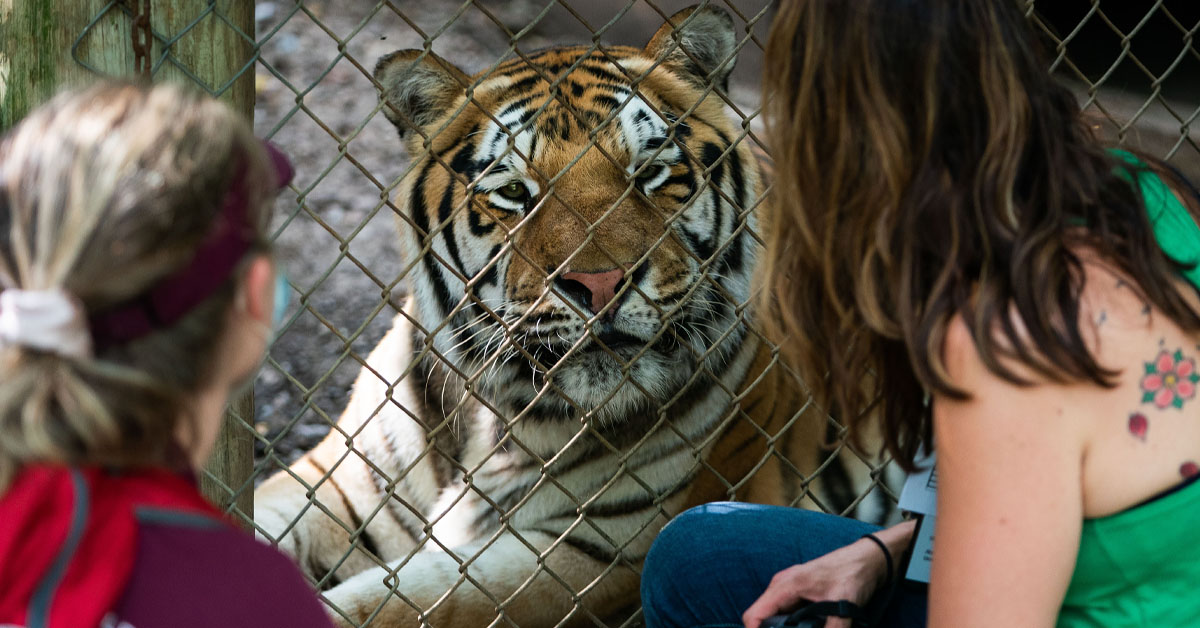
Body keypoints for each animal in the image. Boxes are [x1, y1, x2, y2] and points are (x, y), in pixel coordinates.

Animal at [258, 6, 897, 628]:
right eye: (515, 192)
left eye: (649, 173)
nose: (600, 283)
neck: (497, 422)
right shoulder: (337, 484)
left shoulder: (606, 553)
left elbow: (405, 604)